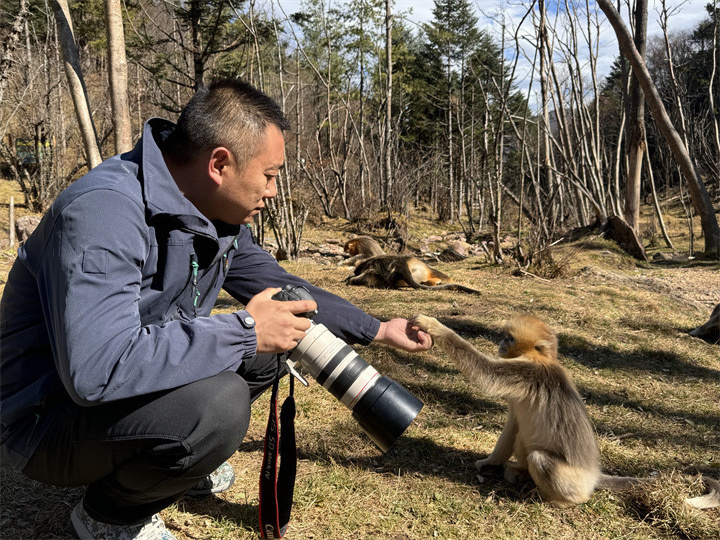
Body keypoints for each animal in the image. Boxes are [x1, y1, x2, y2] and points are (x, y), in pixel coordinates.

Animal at [408, 314, 720, 508]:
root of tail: (592, 476)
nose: (500, 344)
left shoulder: (528, 372)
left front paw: (435, 327)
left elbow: (484, 372)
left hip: (573, 483)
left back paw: (558, 500)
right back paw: (519, 472)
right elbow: (512, 425)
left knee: (541, 459)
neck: (540, 359)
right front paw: (490, 462)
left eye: (509, 338)